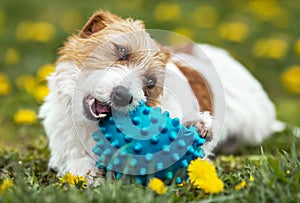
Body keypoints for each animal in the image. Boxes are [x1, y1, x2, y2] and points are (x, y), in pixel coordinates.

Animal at [39, 10, 284, 182]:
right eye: (121, 51)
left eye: (150, 83)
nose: (122, 96)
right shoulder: (63, 148)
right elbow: (75, 162)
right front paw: (90, 172)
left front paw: (198, 126)